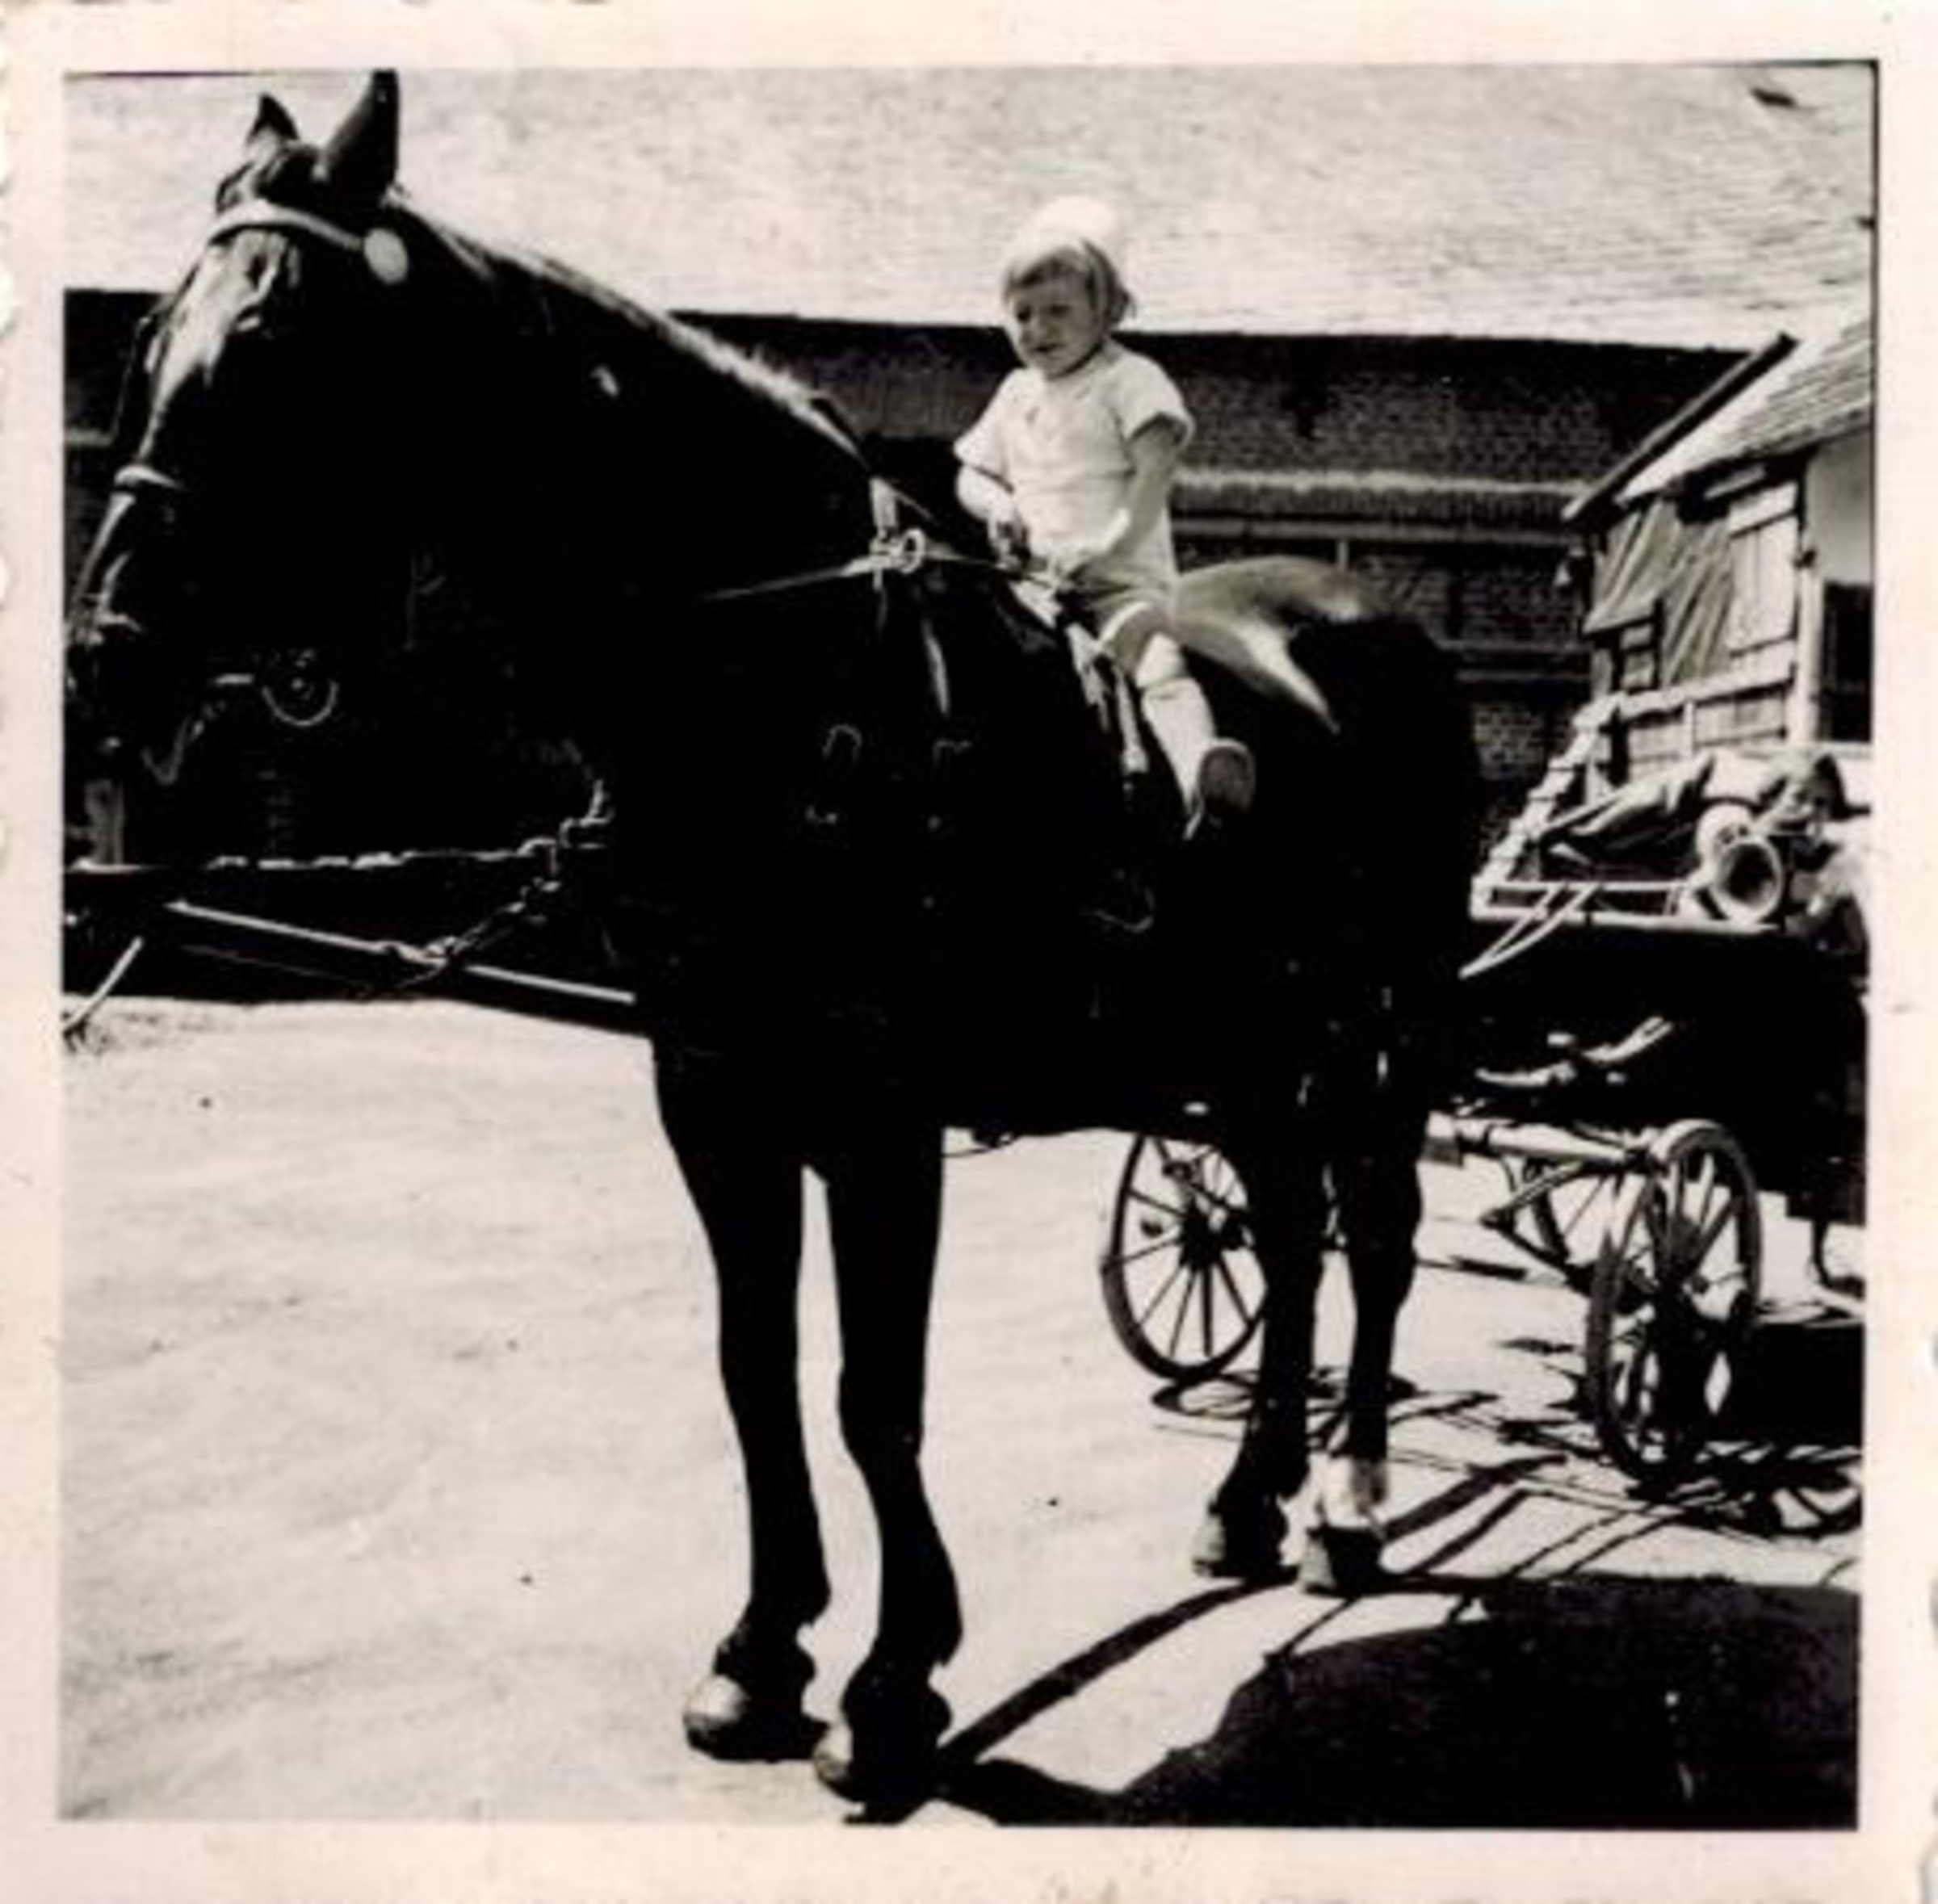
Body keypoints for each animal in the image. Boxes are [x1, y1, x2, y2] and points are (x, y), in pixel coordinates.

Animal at [67, 73, 1480, 1805]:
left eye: (273, 347)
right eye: (144, 344)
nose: (106, 657)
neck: (803, 685)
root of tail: (1368, 627)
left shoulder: (880, 1117)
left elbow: (878, 1392)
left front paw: (894, 1679)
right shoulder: (717, 1091)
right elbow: (759, 1370)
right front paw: (760, 1651)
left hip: (1383, 1020)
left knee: (1378, 1228)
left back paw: (1347, 1499)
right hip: (1243, 1041)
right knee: (1282, 1227)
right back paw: (1250, 1494)